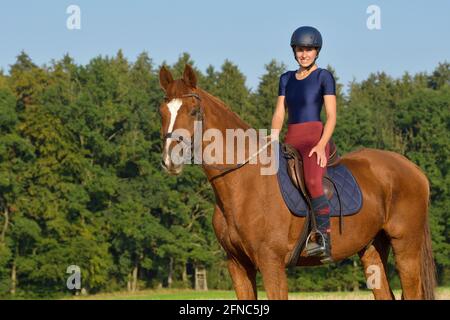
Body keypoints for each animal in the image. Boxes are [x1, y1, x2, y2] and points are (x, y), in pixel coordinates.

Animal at [158, 64, 436, 300]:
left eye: (194, 111)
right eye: (162, 113)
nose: (171, 159)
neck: (243, 184)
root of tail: (414, 170)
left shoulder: (271, 263)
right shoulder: (237, 265)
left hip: (406, 248)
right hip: (372, 251)